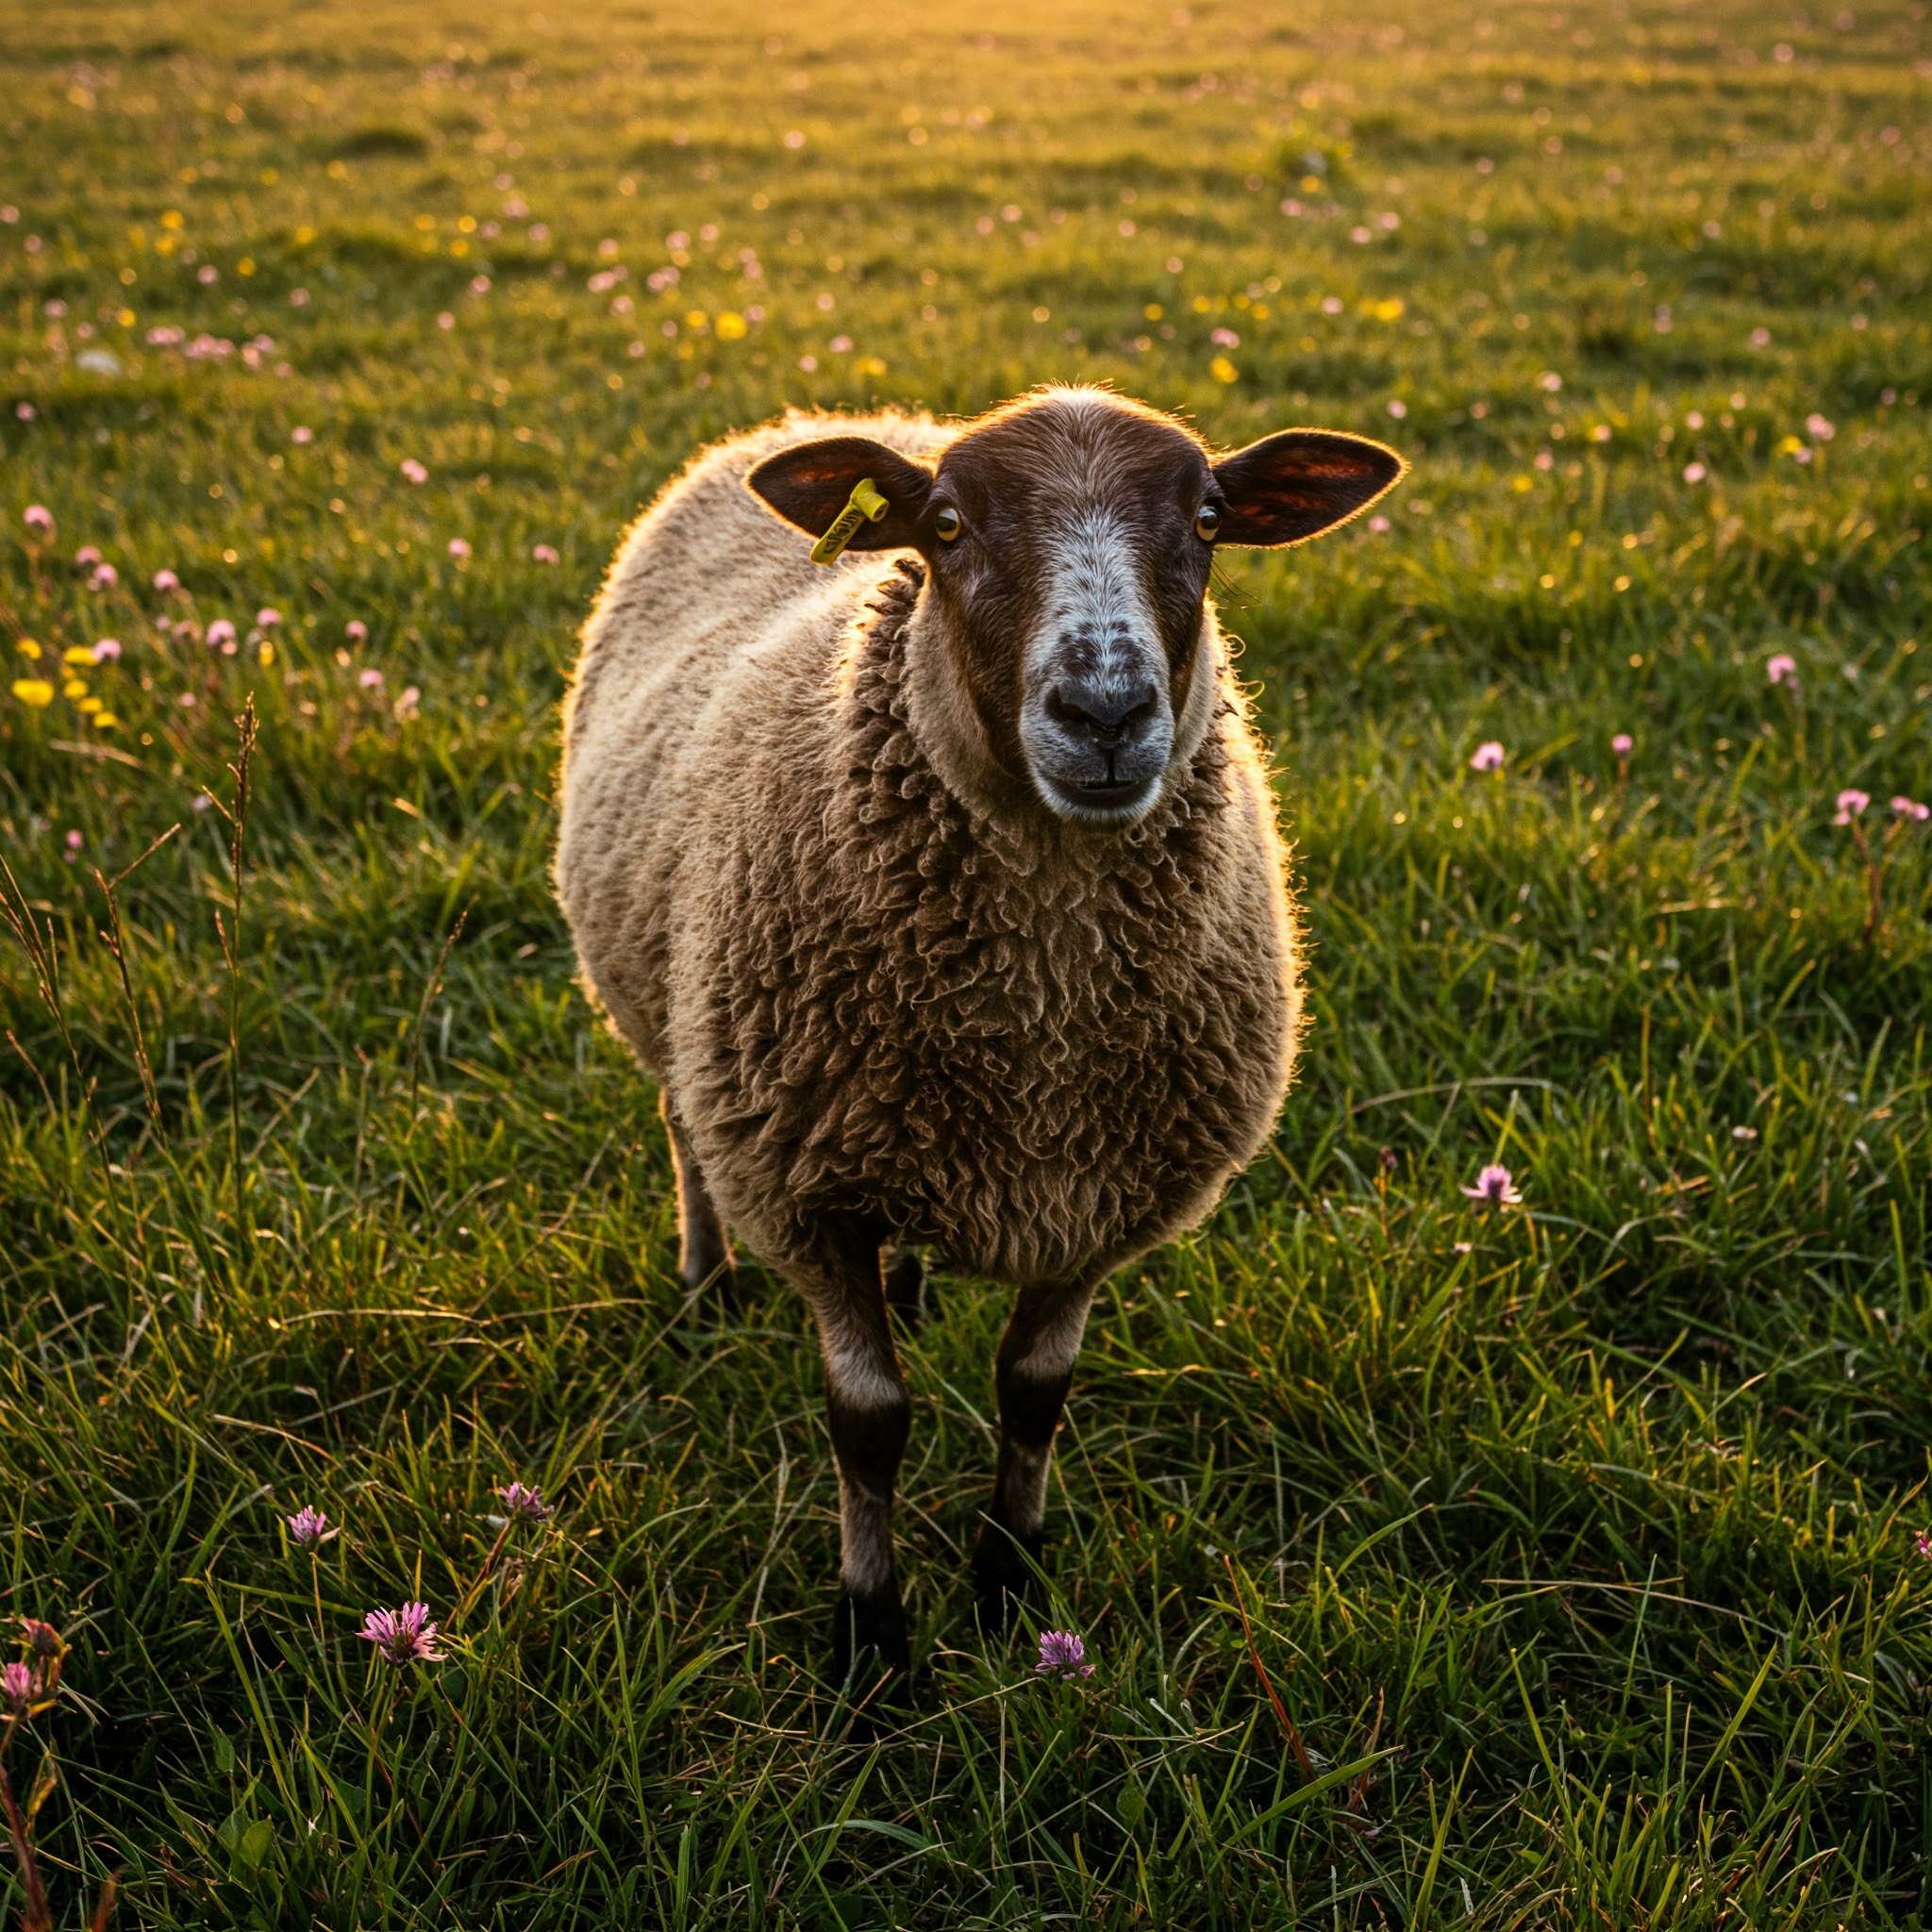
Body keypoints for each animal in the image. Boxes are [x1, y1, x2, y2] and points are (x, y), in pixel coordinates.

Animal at [555, 386, 1402, 1682]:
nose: (1103, 712)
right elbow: (868, 1422)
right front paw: (871, 1637)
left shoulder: (1097, 1193)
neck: (1040, 1019)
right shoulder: (809, 1192)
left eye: (1210, 518)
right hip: (684, 1025)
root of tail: (836, 414)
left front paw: (1008, 1580)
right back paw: (704, 1280)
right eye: (947, 526)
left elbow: (1033, 1391)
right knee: (683, 1127)